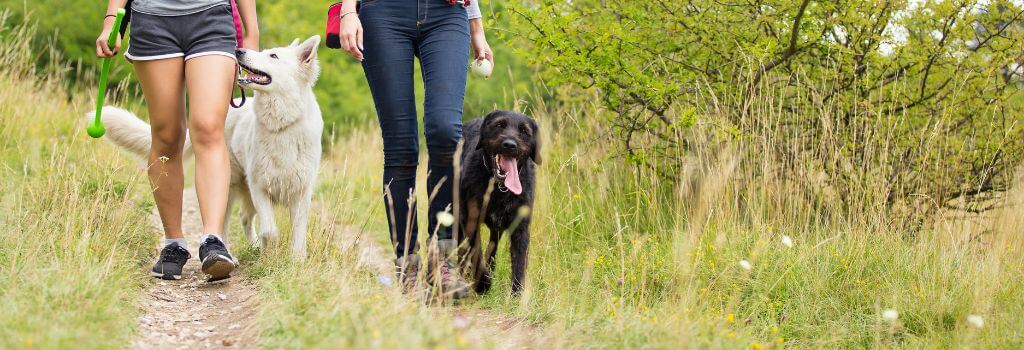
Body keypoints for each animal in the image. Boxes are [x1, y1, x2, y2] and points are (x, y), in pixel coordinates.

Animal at [97, 35, 323, 257]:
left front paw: (296, 259)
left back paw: (253, 247)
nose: (238, 51)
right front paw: (270, 253)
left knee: (244, 217)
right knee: (225, 221)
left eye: (273, 56)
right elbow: (270, 230)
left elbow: (298, 232)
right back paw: (228, 253)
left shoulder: (302, 192)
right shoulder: (259, 187)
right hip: (230, 184)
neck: (282, 125)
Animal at [458, 110, 540, 294]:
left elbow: (519, 262)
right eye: (499, 125)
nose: (510, 145)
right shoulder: (470, 221)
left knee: (492, 248)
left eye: (524, 131)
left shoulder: (521, 227)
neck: (499, 189)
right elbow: (476, 253)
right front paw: (483, 283)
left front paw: (517, 294)